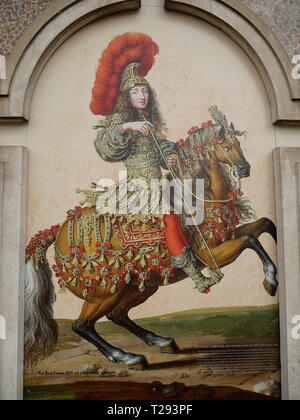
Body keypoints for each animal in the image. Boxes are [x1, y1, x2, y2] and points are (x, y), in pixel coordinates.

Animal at [24, 107, 278, 370]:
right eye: (227, 147)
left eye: (238, 143)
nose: (245, 169)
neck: (197, 196)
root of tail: (59, 230)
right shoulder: (210, 255)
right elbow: (250, 240)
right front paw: (270, 281)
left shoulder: (226, 237)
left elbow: (264, 225)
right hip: (105, 291)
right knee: (82, 325)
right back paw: (127, 357)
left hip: (139, 286)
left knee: (116, 315)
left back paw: (161, 342)